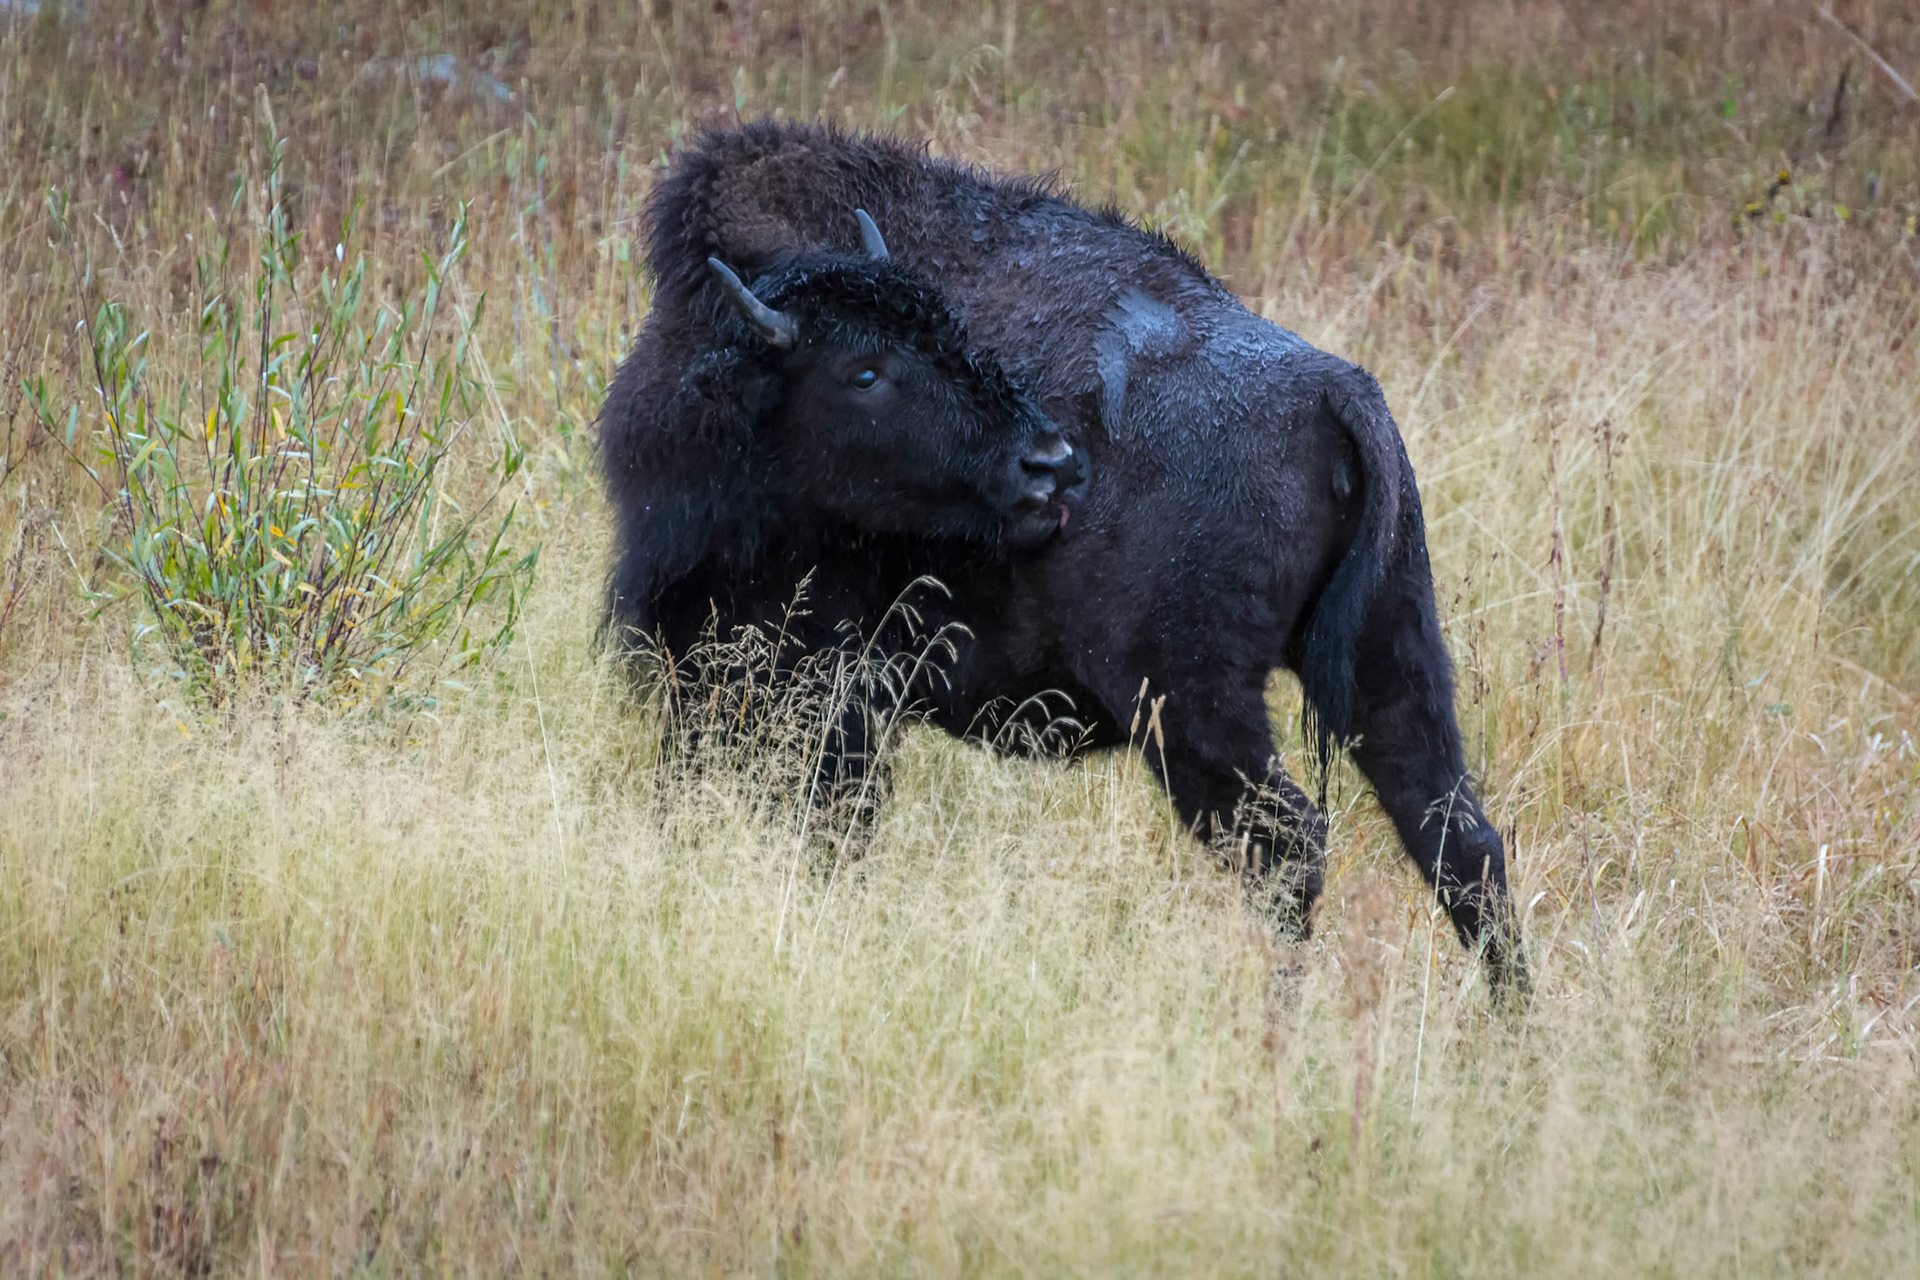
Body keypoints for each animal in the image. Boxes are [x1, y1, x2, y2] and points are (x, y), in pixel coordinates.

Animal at [602, 122, 1525, 992]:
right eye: (867, 370)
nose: (1049, 462)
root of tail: (1335, 388)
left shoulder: (824, 692)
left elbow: (829, 827)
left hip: (1190, 703)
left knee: (1289, 845)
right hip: (1393, 663)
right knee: (1462, 846)